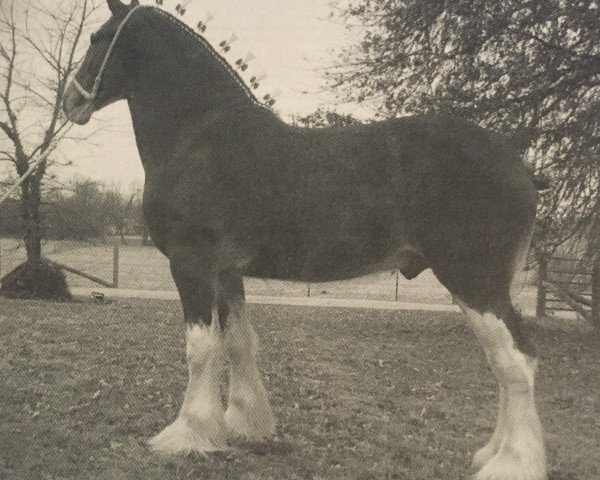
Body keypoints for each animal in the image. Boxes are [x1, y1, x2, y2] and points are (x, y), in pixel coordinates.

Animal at [64, 1, 548, 478]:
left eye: (96, 38)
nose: (70, 100)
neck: (199, 134)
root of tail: (520, 169)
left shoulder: (192, 263)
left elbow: (201, 348)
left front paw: (187, 435)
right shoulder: (226, 271)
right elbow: (239, 341)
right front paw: (244, 423)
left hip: (474, 281)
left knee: (514, 360)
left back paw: (512, 463)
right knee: (509, 359)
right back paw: (492, 454)